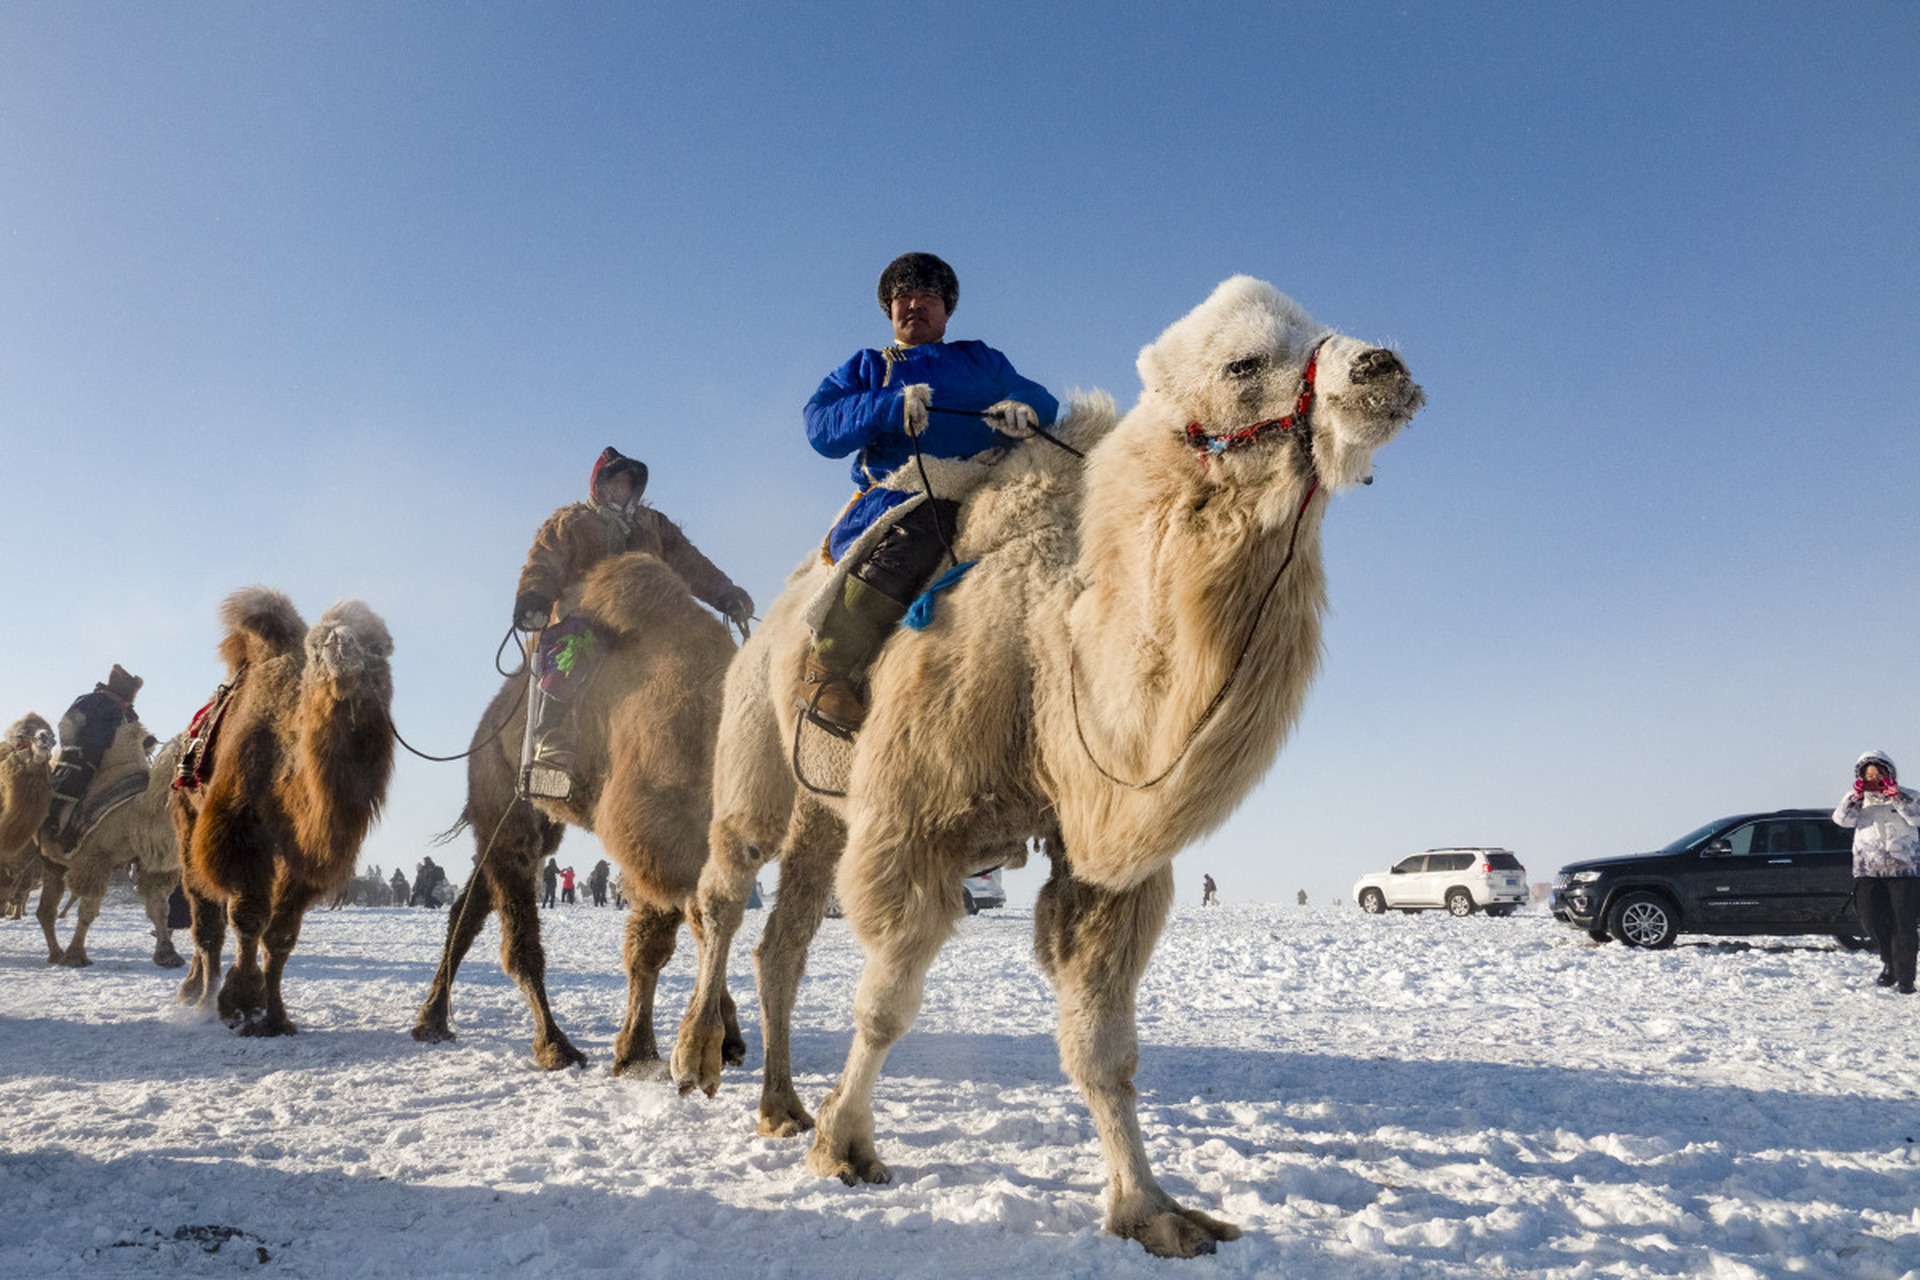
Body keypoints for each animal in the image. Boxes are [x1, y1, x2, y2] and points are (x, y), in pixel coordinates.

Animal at [36, 725, 187, 967]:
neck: (135, 813)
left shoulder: (150, 863)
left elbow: (160, 908)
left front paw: (168, 955)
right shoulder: (95, 858)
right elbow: (88, 910)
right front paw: (76, 955)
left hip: (52, 862)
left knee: (46, 910)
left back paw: (56, 954)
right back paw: (59, 953)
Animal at [174, 591, 395, 1043]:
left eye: (379, 645)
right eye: (317, 642)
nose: (341, 643)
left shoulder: (304, 857)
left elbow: (281, 936)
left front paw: (276, 1017)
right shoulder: (237, 831)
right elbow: (247, 918)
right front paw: (240, 1004)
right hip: (186, 822)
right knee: (205, 919)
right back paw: (201, 998)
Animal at [412, 552, 741, 1074]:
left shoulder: (680, 835)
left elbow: (667, 935)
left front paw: (659, 1047)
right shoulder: (649, 826)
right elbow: (682, 927)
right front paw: (657, 1049)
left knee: (467, 908)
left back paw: (433, 1021)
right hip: (505, 807)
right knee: (517, 935)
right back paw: (553, 1044)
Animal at [668, 276, 1420, 1258]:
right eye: (1242, 362)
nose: (1383, 368)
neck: (1052, 640)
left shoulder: (1098, 857)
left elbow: (1104, 1043)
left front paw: (1153, 1209)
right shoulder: (915, 816)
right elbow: (886, 1003)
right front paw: (846, 1147)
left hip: (825, 807)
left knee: (783, 943)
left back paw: (781, 1106)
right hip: (755, 744)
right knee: (725, 890)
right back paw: (694, 1058)